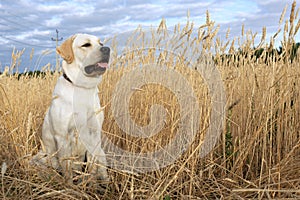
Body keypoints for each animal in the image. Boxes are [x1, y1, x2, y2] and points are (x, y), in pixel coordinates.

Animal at [32, 33, 109, 183]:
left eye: (101, 43)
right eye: (86, 45)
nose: (107, 49)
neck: (82, 87)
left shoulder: (94, 133)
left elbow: (92, 166)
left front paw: (91, 184)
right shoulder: (62, 136)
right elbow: (67, 168)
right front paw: (69, 185)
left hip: (102, 153)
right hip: (42, 156)